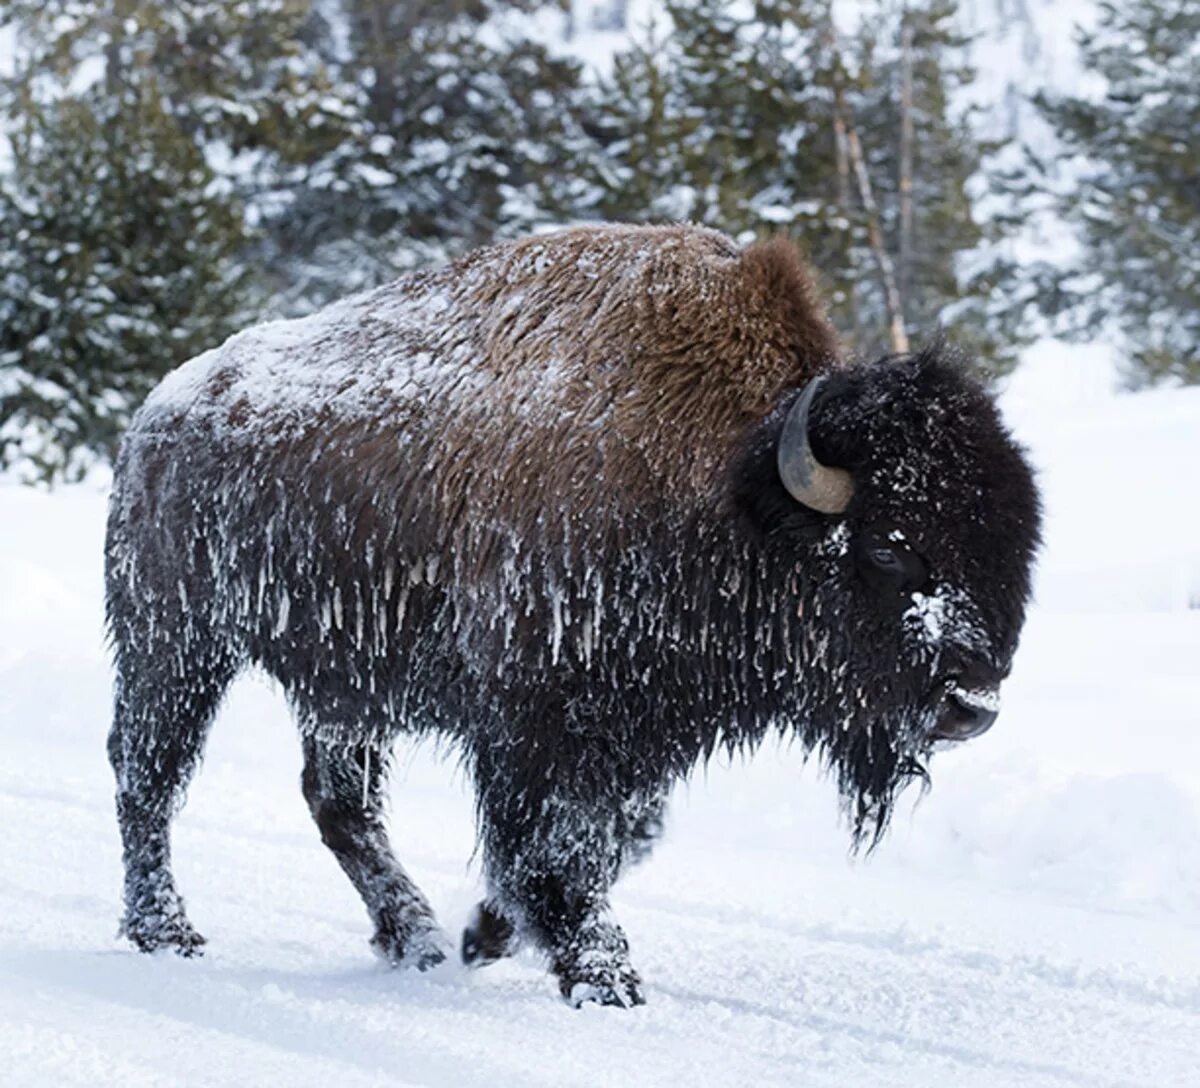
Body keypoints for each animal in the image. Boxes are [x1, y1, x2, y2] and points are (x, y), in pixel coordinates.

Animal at [105, 223, 1041, 1012]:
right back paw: (169, 932)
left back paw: (416, 940)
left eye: (1013, 556)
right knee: (147, 774)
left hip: (343, 691)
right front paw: (604, 976)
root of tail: (159, 414)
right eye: (889, 550)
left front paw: (488, 933)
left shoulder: (646, 726)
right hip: (177, 644)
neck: (730, 484)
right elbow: (561, 845)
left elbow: (622, 835)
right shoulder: (540, 725)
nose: (972, 706)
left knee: (339, 802)